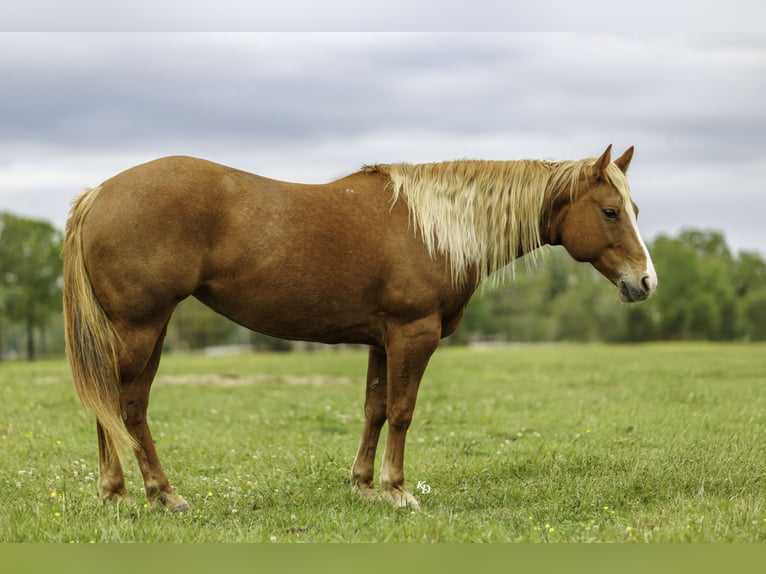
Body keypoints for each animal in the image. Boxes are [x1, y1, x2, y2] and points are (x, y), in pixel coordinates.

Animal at [63, 144, 657, 512]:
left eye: (634, 208)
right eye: (610, 211)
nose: (646, 281)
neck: (436, 227)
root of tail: (98, 194)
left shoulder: (381, 340)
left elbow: (375, 409)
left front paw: (364, 486)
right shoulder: (412, 335)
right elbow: (403, 411)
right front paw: (399, 491)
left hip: (145, 331)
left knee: (114, 404)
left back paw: (119, 493)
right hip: (139, 328)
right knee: (124, 405)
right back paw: (158, 494)